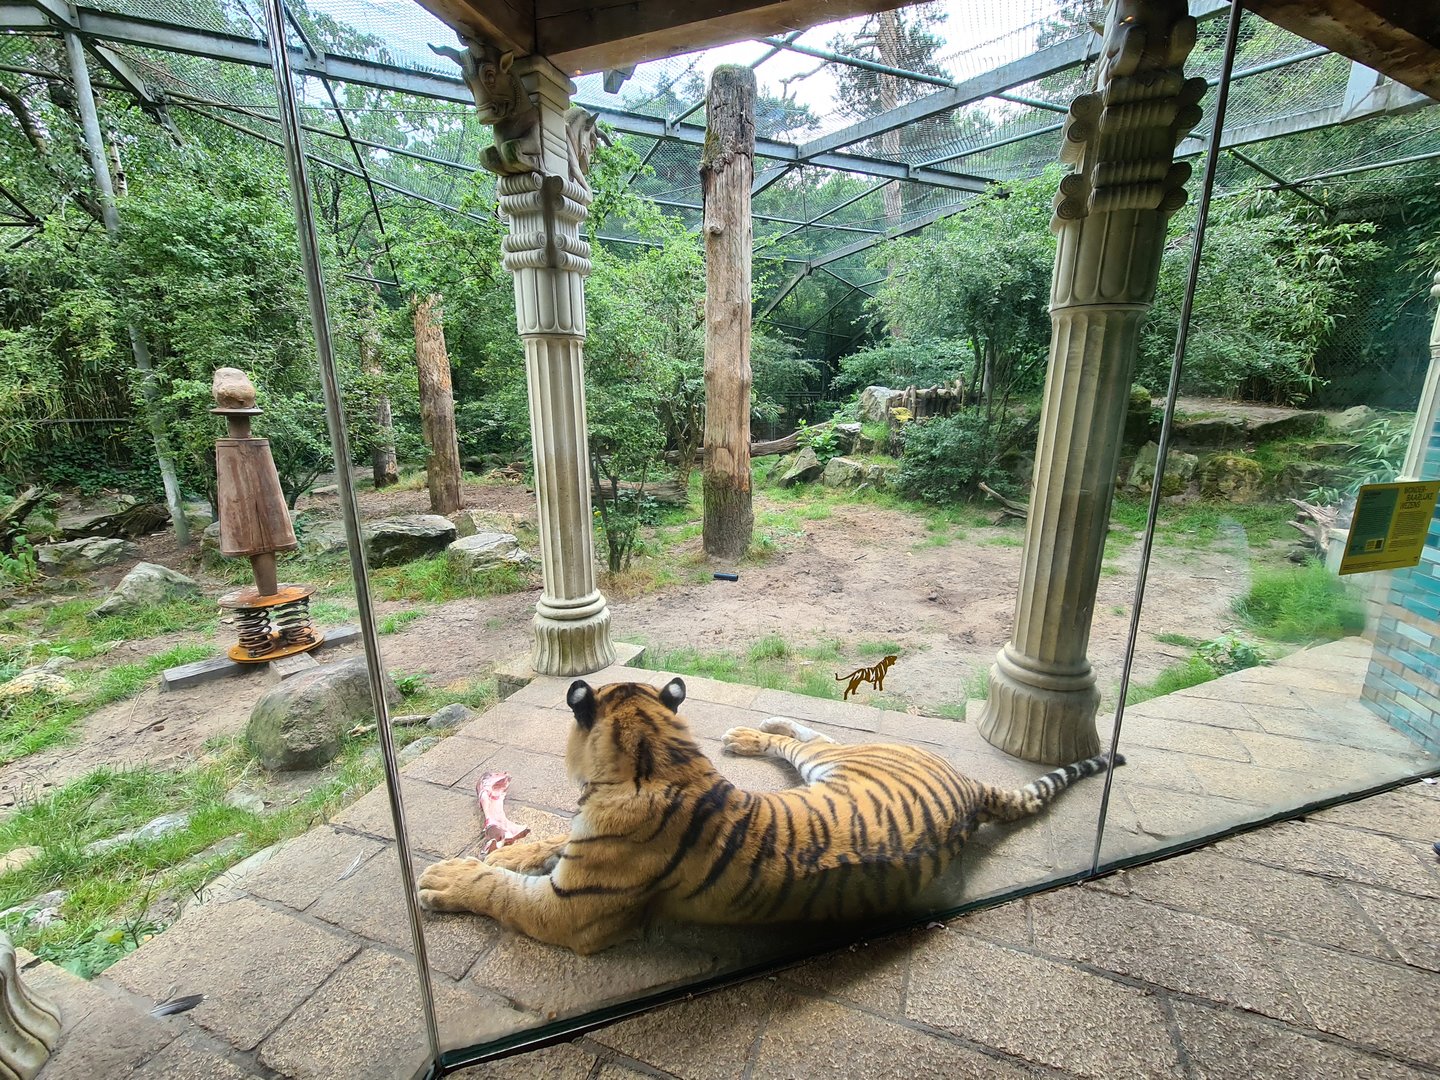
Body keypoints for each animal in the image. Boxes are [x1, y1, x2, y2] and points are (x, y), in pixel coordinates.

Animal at [416, 677, 1122, 955]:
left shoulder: (571, 912)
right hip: (823, 770)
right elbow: (548, 842)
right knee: (805, 736)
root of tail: (972, 784)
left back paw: (753, 729)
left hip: (833, 761)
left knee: (811, 736)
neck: (661, 757)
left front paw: (444, 879)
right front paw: (507, 849)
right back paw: (751, 731)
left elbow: (501, 891)